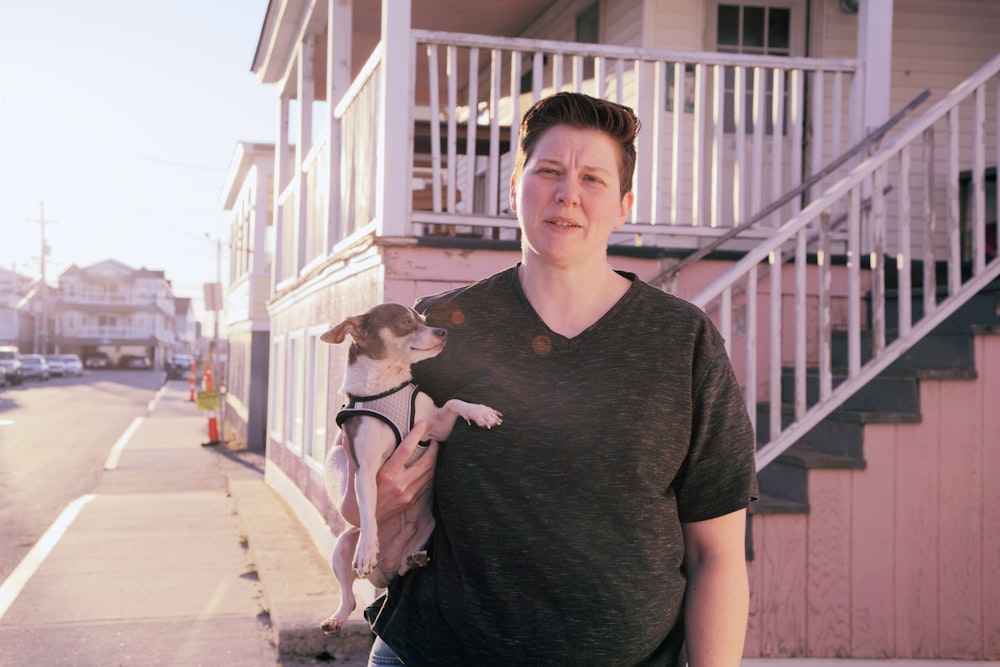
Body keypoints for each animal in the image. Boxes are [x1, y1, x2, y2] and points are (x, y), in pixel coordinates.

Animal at [318, 304, 500, 636]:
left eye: (424, 321)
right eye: (405, 322)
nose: (443, 331)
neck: (387, 386)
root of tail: (385, 572)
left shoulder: (437, 426)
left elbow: (454, 402)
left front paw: (480, 412)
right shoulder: (365, 470)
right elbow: (367, 510)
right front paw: (367, 549)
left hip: (426, 534)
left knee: (403, 568)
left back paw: (414, 559)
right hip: (341, 548)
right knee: (349, 597)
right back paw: (336, 617)